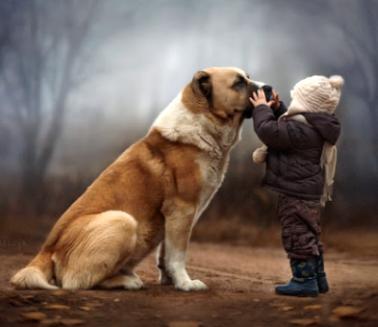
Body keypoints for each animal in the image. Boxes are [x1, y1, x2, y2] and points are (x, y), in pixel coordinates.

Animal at [12, 66, 260, 292]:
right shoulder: (182, 210)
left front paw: (169, 280)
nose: (266, 88)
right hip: (122, 221)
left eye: (247, 77)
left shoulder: (173, 218)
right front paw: (186, 284)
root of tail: (46, 250)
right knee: (77, 282)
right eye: (238, 83)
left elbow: (165, 254)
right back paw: (127, 281)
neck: (203, 125)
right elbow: (178, 254)